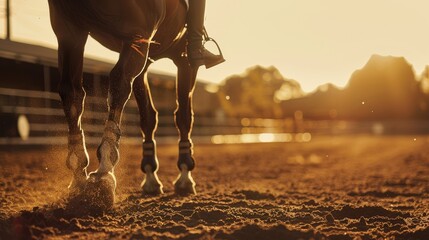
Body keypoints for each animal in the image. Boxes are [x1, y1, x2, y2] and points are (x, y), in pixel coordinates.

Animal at [47, 0, 201, 208]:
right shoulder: (181, 57)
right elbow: (182, 116)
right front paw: (185, 175)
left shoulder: (143, 48)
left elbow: (146, 115)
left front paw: (149, 176)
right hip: (140, 40)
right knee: (123, 88)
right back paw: (111, 172)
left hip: (72, 33)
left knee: (72, 92)